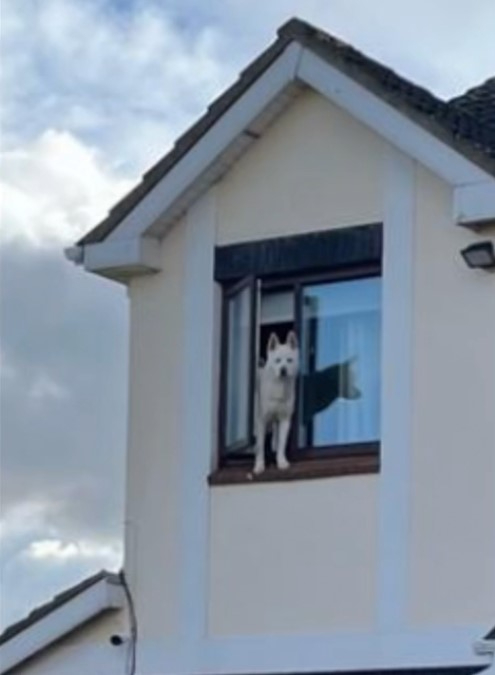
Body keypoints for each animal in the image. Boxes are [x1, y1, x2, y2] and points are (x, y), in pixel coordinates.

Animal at [254, 332, 300, 476]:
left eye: (289, 360)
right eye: (278, 360)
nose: (283, 370)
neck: (279, 387)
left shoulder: (285, 419)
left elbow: (282, 443)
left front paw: (281, 462)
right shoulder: (261, 420)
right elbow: (260, 446)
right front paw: (259, 466)